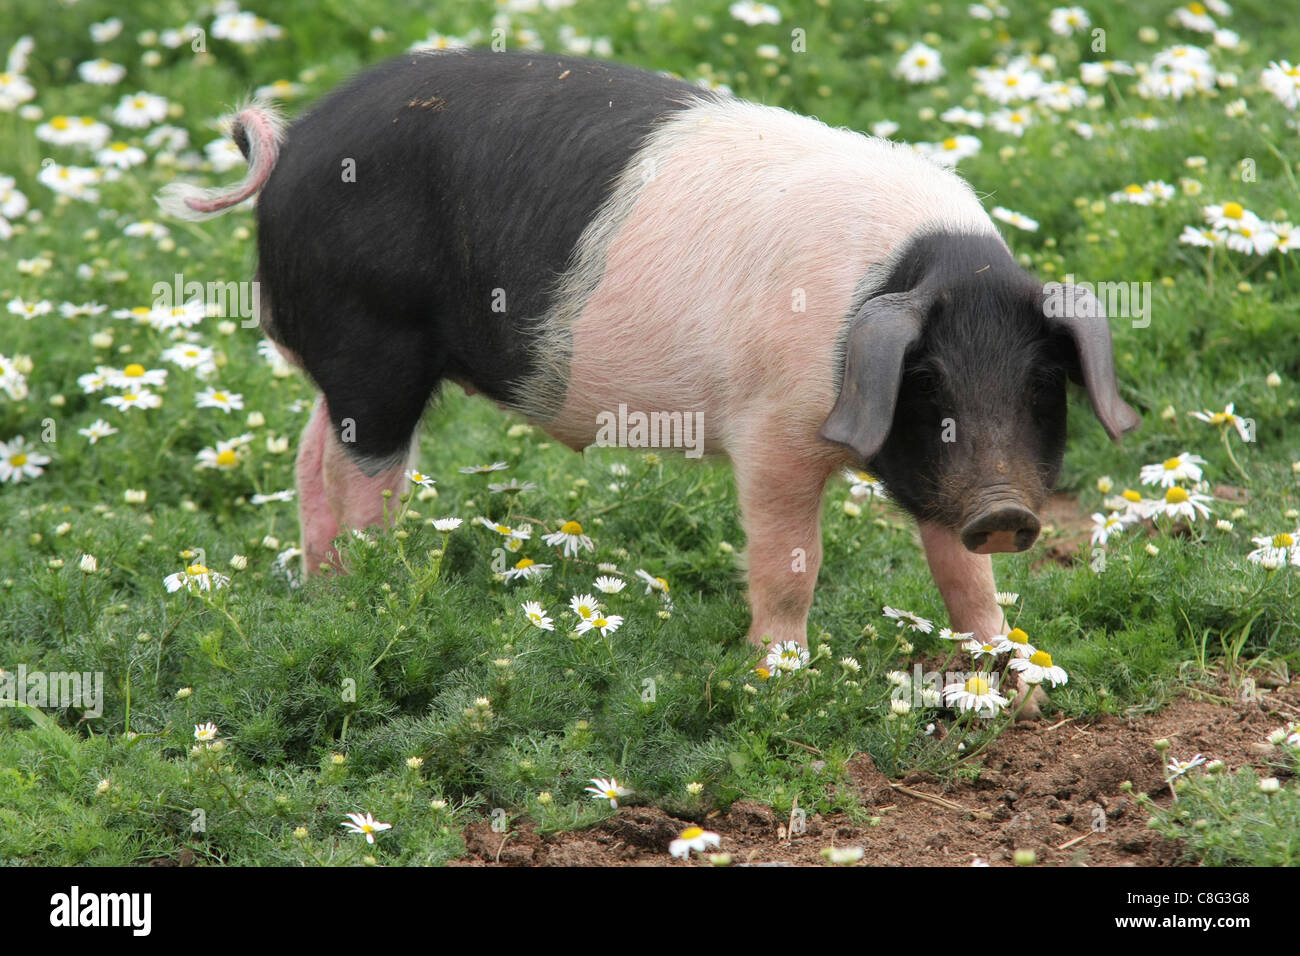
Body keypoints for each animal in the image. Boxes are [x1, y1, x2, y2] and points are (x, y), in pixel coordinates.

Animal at [159, 48, 1138, 660]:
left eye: (1041, 384)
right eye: (928, 380)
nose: (1006, 511)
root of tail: (292, 147)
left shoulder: (932, 474)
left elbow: (959, 568)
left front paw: (1014, 675)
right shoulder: (771, 432)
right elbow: (790, 560)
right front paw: (782, 676)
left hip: (352, 362)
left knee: (310, 453)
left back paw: (321, 594)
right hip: (375, 341)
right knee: (362, 473)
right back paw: (373, 596)